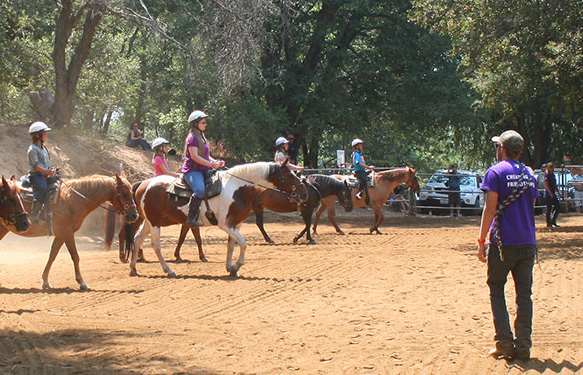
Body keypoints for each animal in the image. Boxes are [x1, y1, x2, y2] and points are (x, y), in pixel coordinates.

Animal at [125, 160, 310, 278]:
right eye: (289, 175)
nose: (304, 194)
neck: (237, 189)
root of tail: (144, 184)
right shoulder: (226, 225)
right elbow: (243, 244)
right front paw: (236, 266)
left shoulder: (236, 224)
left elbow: (231, 245)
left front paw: (230, 268)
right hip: (155, 222)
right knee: (155, 245)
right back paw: (168, 270)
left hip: (149, 222)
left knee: (138, 239)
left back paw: (133, 268)